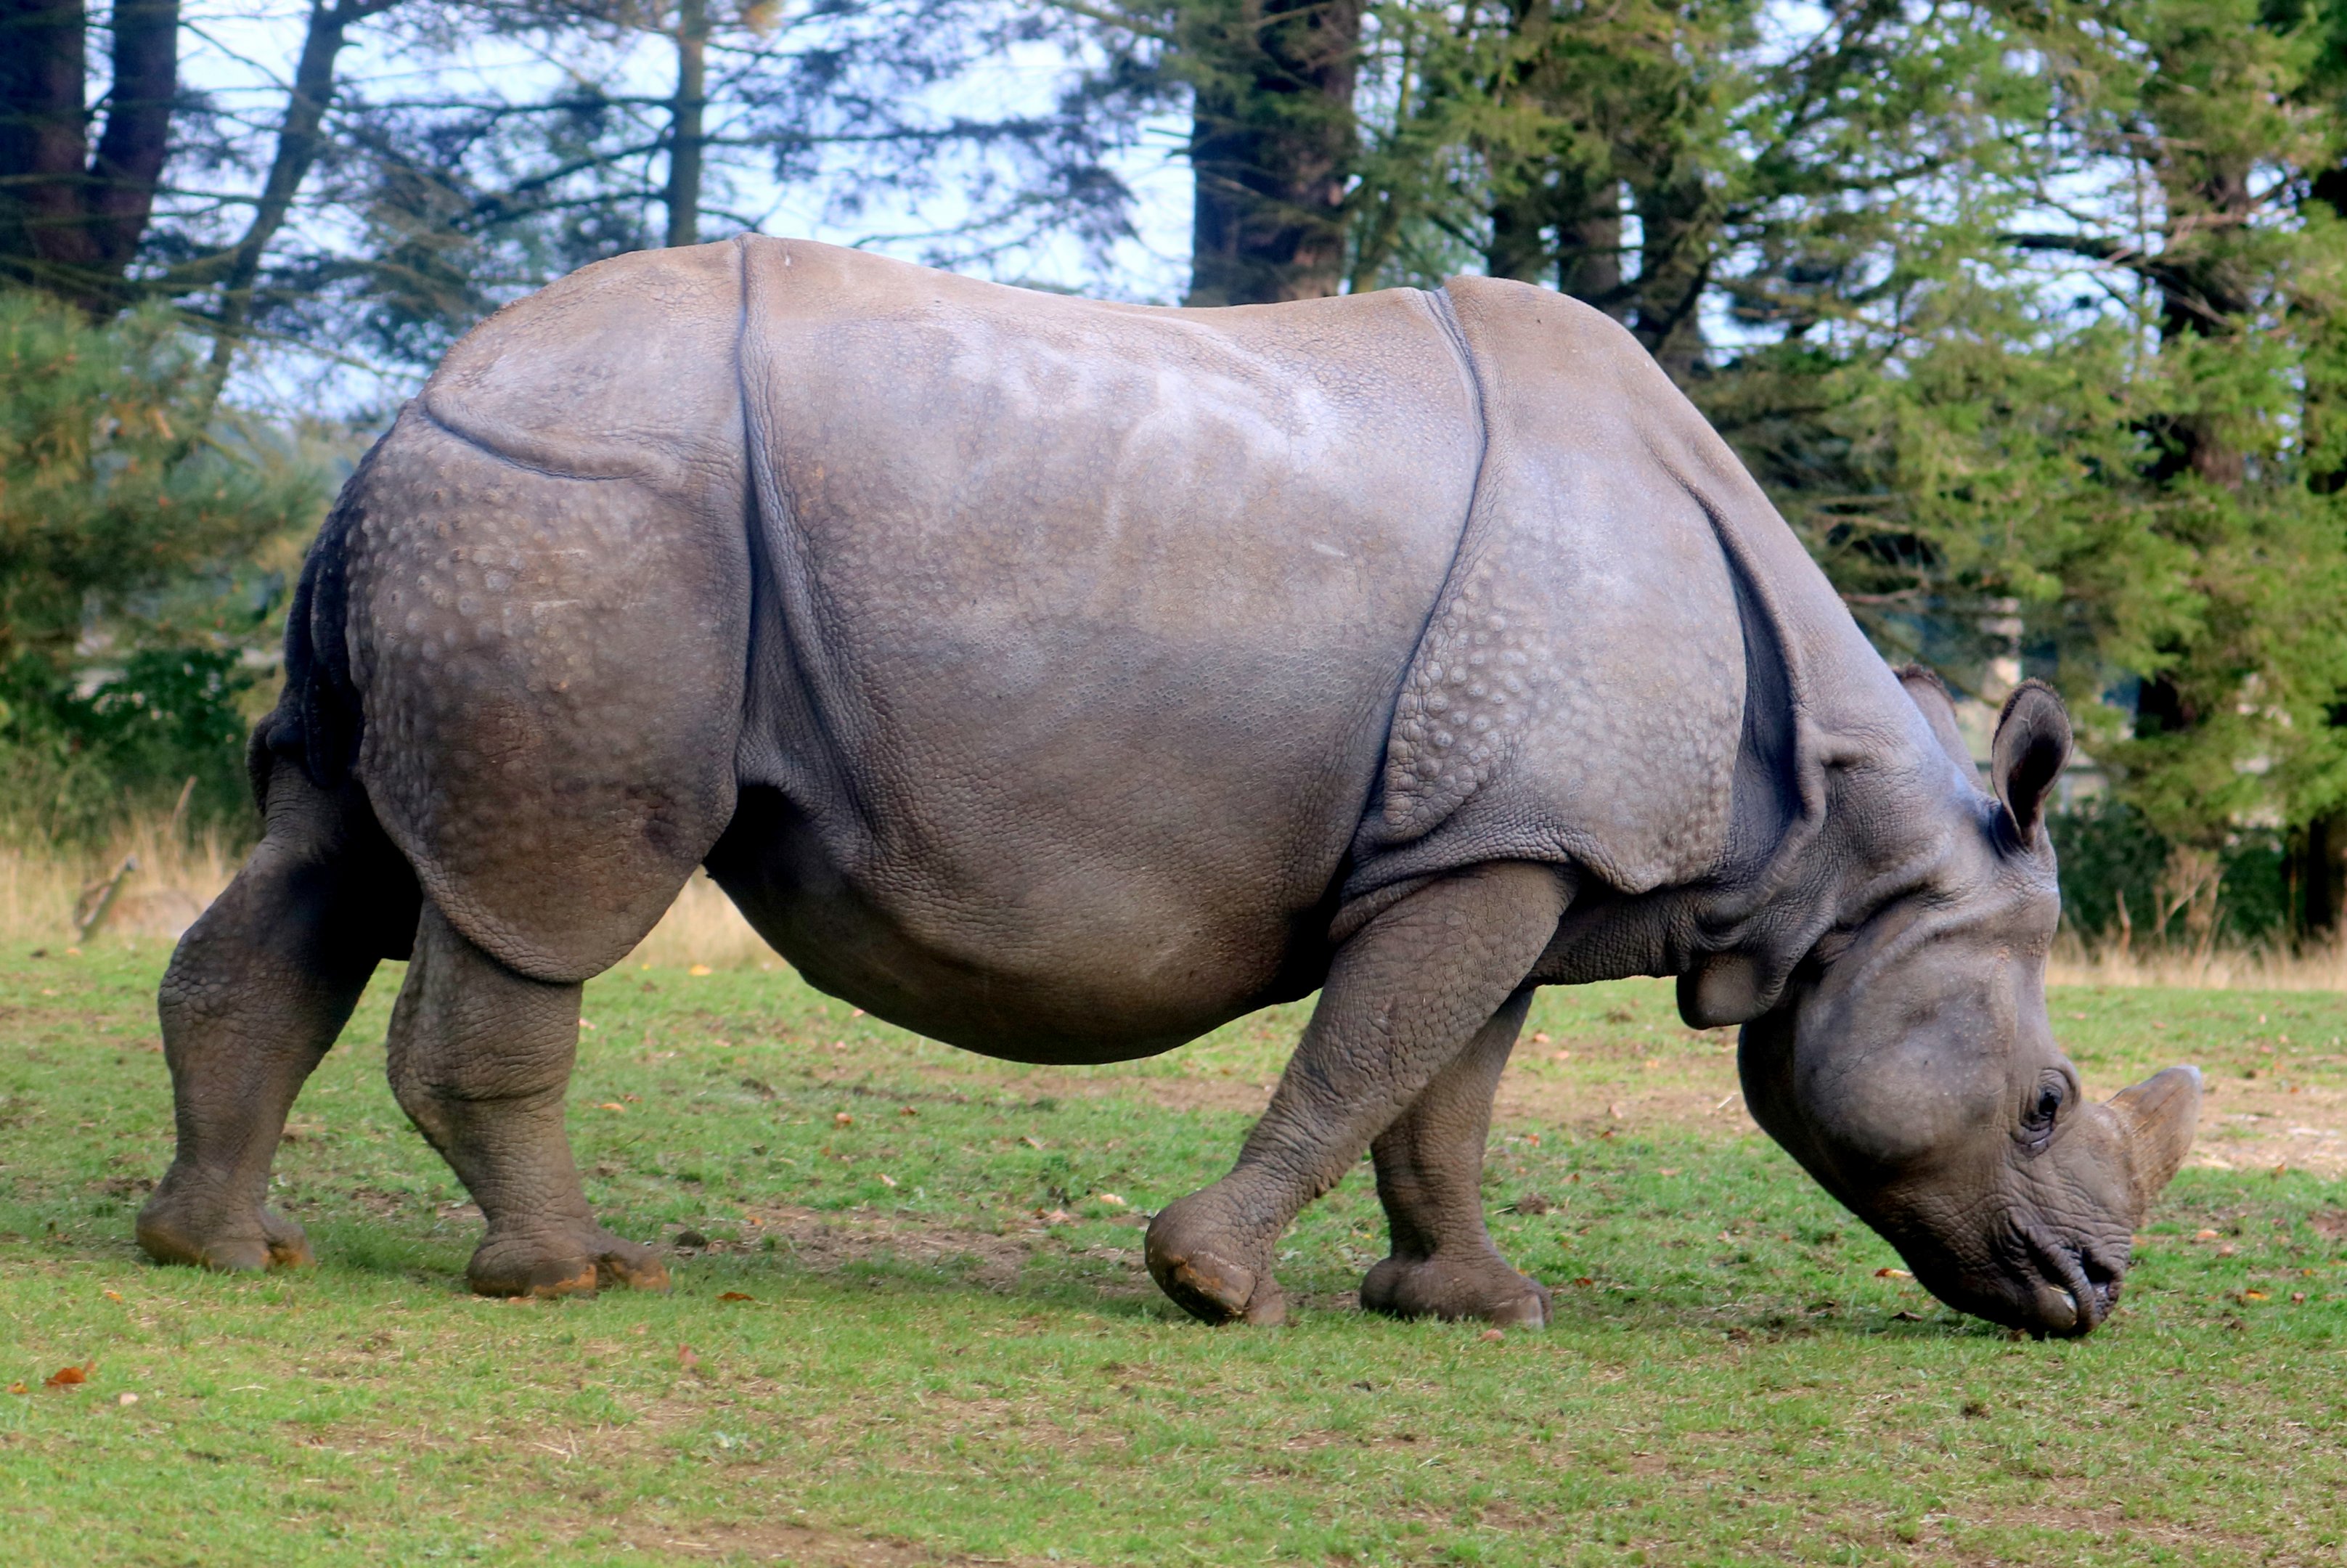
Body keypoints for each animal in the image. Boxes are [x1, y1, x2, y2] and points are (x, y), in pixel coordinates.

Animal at [137, 237, 2201, 1336]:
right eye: (2041, 1101)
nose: (2091, 1291)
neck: (1842, 840)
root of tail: (414, 398)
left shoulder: (1499, 849)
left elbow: (1442, 1097)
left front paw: (1471, 1306)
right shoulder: (1489, 847)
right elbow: (1362, 1063)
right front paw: (1216, 1290)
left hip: (474, 519)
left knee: (327, 852)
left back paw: (223, 1247)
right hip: (590, 524)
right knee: (546, 902)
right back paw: (572, 1276)